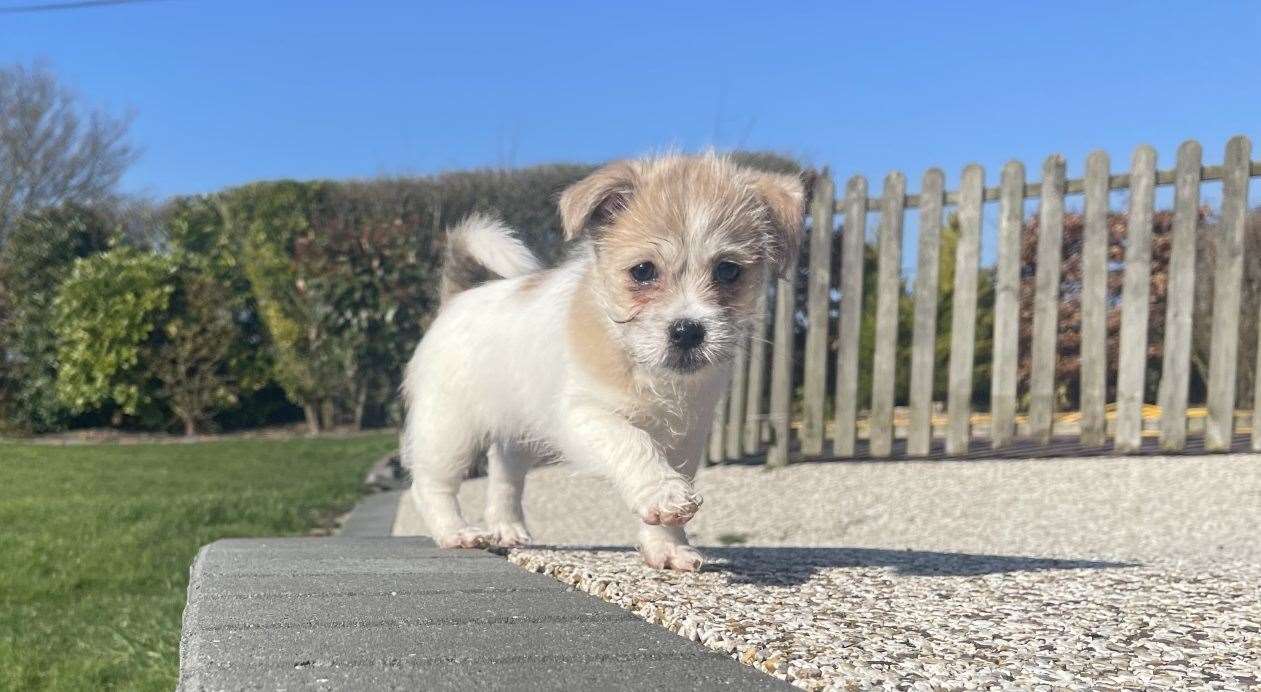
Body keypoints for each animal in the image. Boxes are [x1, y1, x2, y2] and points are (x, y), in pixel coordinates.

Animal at [398, 153, 801, 569]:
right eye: (643, 271)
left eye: (728, 270)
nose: (688, 331)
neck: (642, 365)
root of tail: (456, 300)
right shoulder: (584, 414)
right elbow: (633, 442)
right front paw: (664, 494)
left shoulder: (685, 438)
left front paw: (667, 546)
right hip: (449, 430)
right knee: (430, 485)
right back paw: (456, 532)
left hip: (517, 431)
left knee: (504, 475)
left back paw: (507, 527)